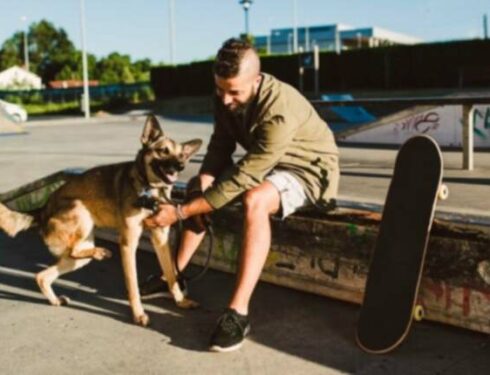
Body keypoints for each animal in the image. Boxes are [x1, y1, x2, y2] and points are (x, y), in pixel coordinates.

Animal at [0, 116, 202, 328]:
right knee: (71, 252)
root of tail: (43, 208)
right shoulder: (128, 243)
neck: (150, 190)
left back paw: (56, 297)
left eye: (182, 156)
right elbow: (133, 285)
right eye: (163, 151)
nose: (180, 166)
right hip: (80, 210)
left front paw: (181, 301)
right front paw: (138, 314)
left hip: (78, 258)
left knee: (43, 275)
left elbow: (171, 274)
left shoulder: (161, 240)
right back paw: (100, 252)